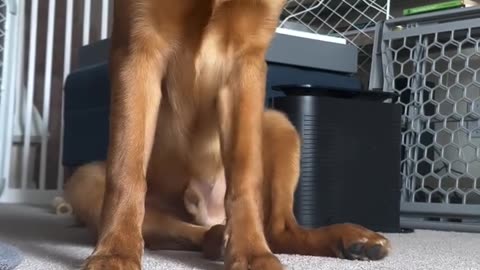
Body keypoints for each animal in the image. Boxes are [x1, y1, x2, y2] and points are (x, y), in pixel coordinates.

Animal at [64, 1, 390, 268]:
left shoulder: (246, 61)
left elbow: (245, 177)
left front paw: (252, 254)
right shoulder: (138, 47)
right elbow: (126, 172)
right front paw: (115, 252)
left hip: (280, 124)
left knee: (279, 231)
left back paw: (352, 239)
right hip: (84, 181)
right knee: (170, 230)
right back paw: (217, 238)